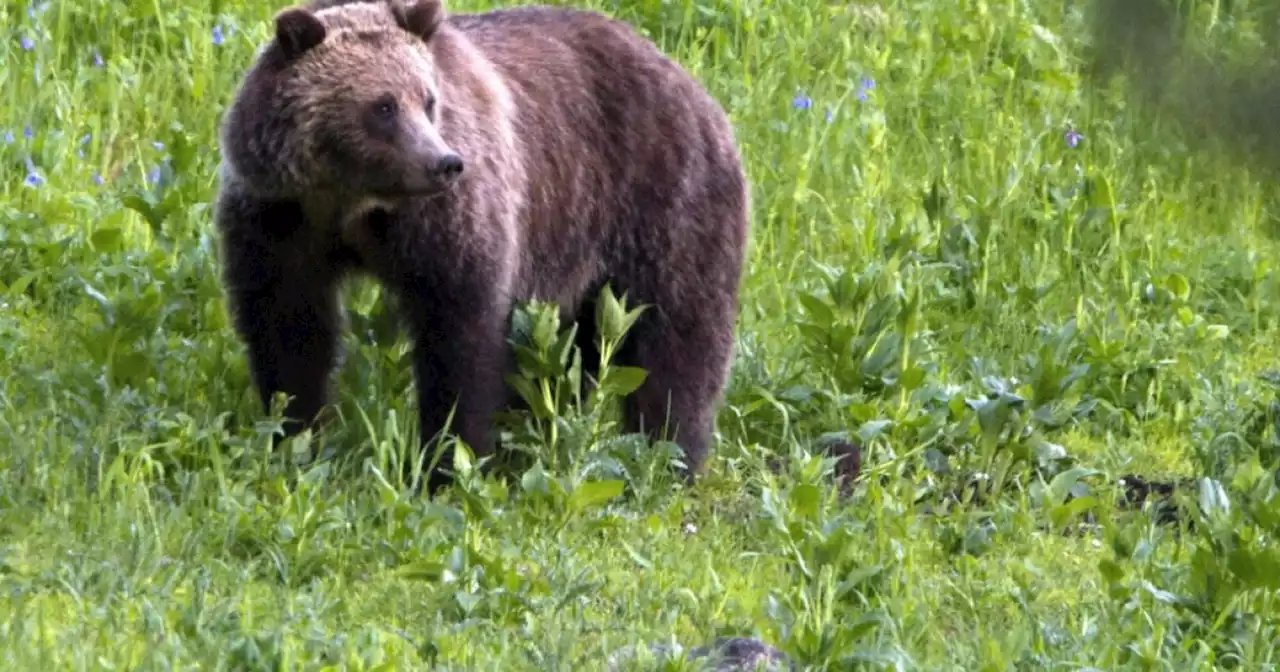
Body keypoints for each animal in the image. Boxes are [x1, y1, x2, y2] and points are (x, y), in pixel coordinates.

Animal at [212, 0, 747, 491]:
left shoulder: (448, 225)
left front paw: (448, 462)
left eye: (428, 100)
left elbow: (460, 337)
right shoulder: (280, 222)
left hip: (661, 203)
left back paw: (669, 458)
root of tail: (689, 81)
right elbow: (290, 330)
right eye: (383, 106)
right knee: (568, 354)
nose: (444, 162)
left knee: (678, 338)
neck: (353, 204)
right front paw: (294, 437)